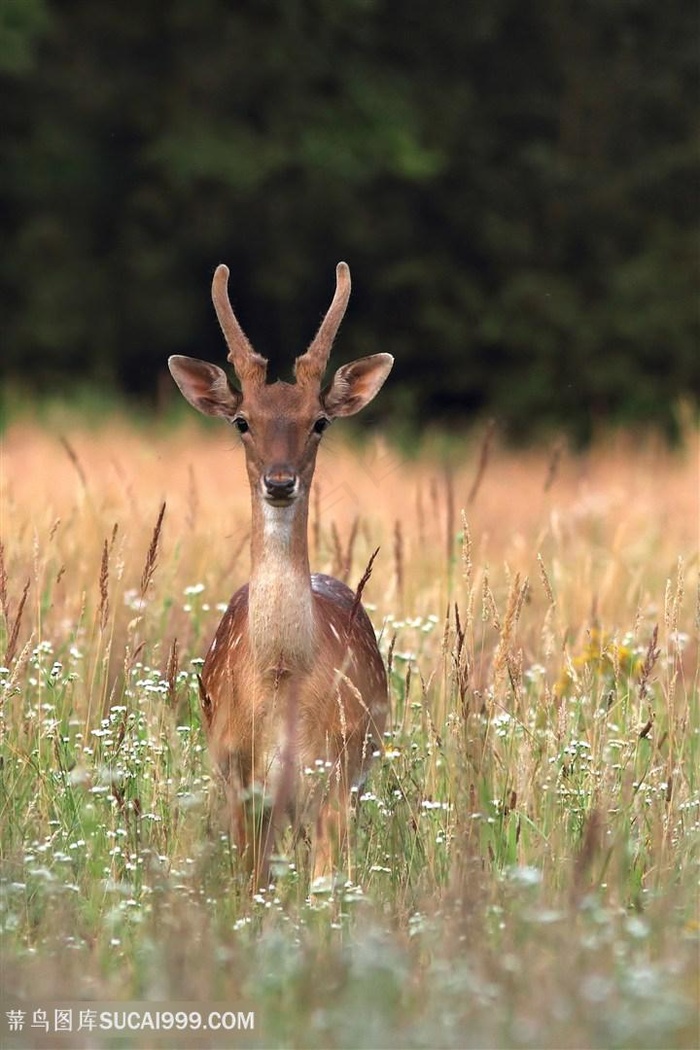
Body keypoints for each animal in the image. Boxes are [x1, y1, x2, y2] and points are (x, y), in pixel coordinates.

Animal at [166, 260, 392, 886]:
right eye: (243, 421)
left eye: (320, 422)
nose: (280, 480)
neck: (282, 671)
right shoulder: (238, 779)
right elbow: (250, 888)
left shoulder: (336, 776)